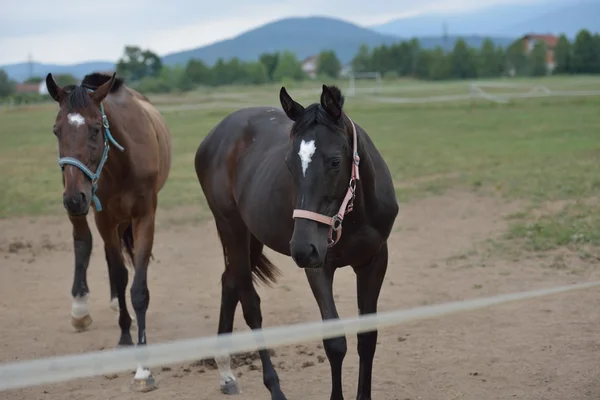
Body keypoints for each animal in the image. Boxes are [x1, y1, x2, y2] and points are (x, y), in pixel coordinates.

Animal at [44, 71, 170, 390]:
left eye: (95, 129)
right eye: (56, 130)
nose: (74, 198)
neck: (122, 161)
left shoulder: (144, 217)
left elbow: (138, 288)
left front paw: (143, 368)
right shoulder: (103, 217)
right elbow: (119, 273)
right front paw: (125, 337)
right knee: (84, 242)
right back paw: (80, 309)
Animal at [196, 85, 398, 400]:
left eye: (335, 162)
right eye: (289, 164)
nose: (303, 248)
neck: (354, 216)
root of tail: (213, 136)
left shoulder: (374, 262)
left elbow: (367, 338)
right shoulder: (319, 268)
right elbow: (335, 343)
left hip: (251, 236)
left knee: (229, 283)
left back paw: (226, 374)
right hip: (232, 227)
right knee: (250, 305)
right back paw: (274, 387)